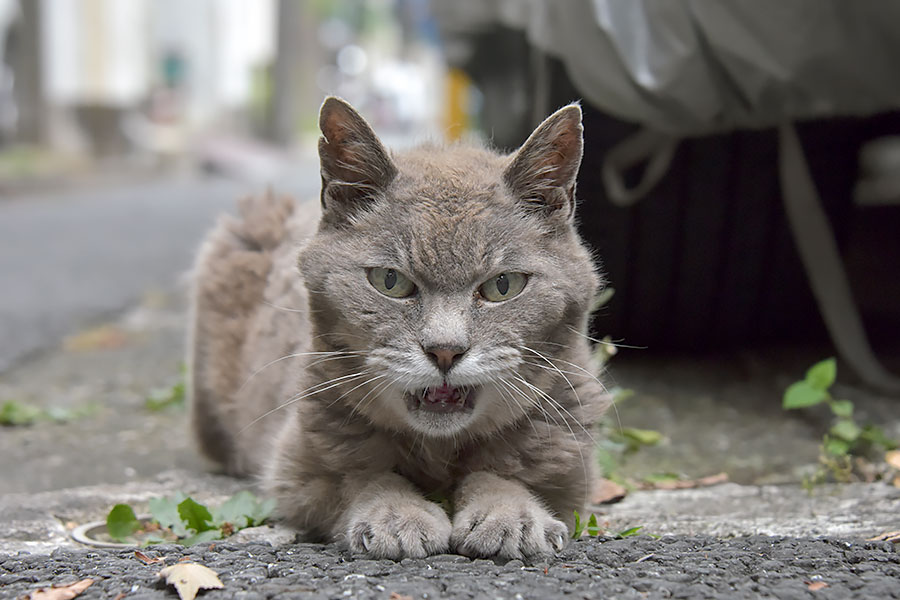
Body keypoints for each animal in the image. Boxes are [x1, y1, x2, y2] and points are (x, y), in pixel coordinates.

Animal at [190, 96, 612, 560]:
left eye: (503, 286)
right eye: (390, 281)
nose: (445, 350)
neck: (439, 450)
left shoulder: (570, 460)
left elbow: (508, 474)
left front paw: (509, 514)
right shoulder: (298, 463)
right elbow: (366, 475)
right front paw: (398, 515)